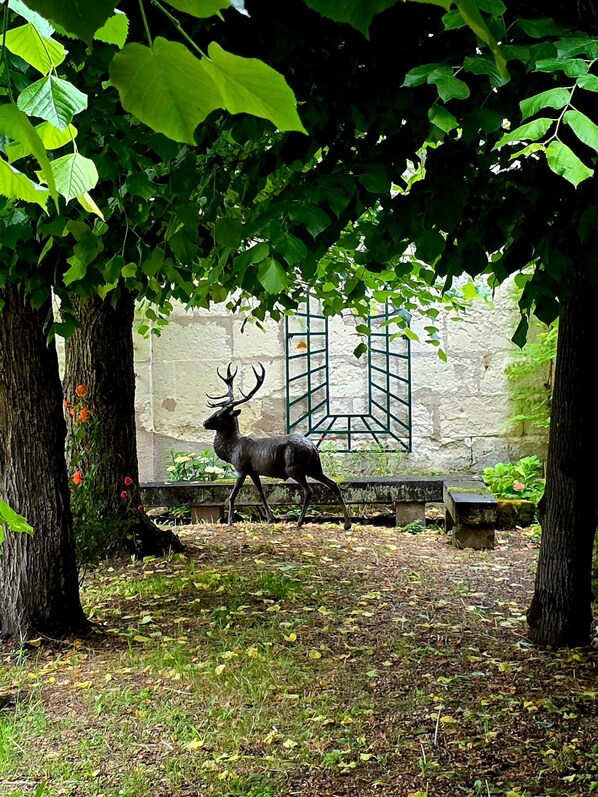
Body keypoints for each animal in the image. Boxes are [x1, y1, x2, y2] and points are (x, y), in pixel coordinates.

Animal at [203, 363, 352, 530]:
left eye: (221, 415)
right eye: (216, 411)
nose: (205, 423)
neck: (232, 449)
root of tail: (313, 447)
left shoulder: (241, 468)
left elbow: (232, 495)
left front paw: (230, 521)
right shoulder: (253, 471)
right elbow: (260, 492)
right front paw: (270, 518)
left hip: (294, 467)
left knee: (309, 491)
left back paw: (299, 522)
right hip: (314, 467)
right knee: (333, 484)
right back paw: (347, 524)